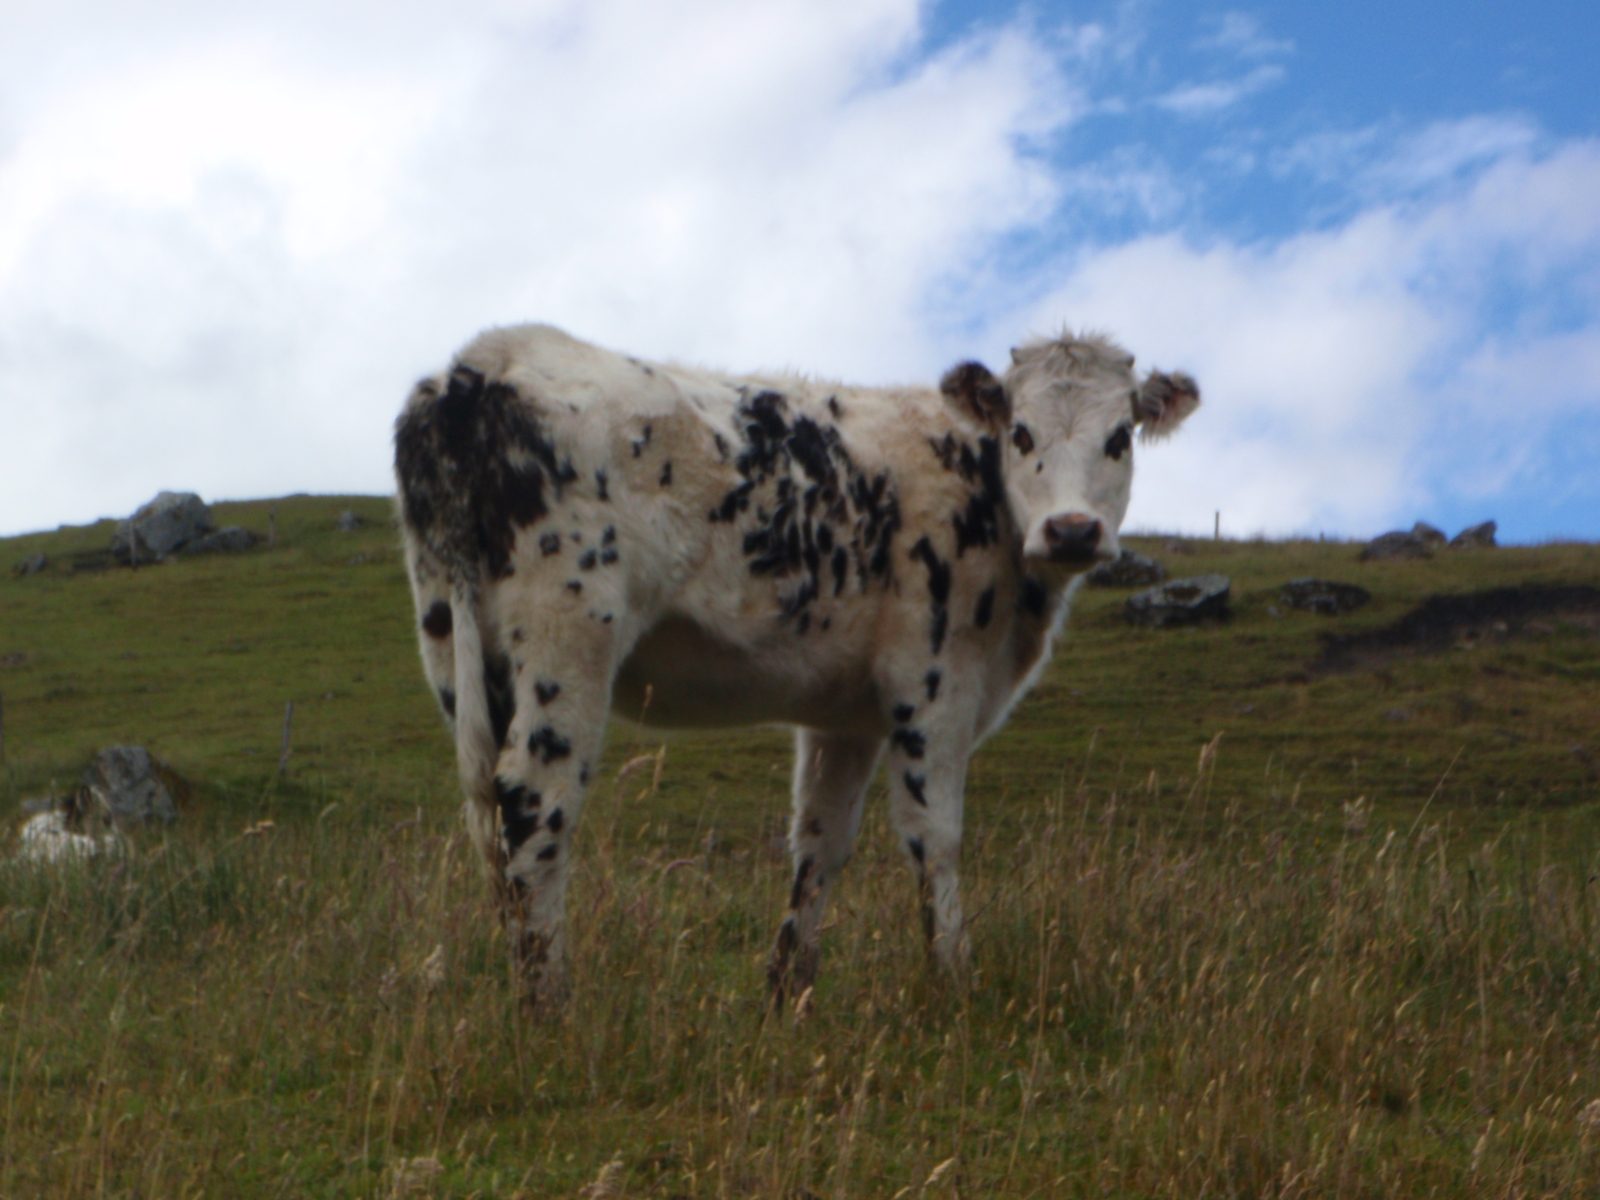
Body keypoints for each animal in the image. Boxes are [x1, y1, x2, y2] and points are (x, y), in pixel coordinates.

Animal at [394, 323, 1198, 1011]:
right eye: (1021, 432)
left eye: (1119, 437)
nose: (1072, 530)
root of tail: (481, 364)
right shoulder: (936, 680)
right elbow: (935, 834)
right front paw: (953, 980)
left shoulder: (847, 716)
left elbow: (820, 840)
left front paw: (788, 992)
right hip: (569, 632)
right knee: (536, 800)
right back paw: (550, 1005)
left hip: (454, 641)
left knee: (491, 819)